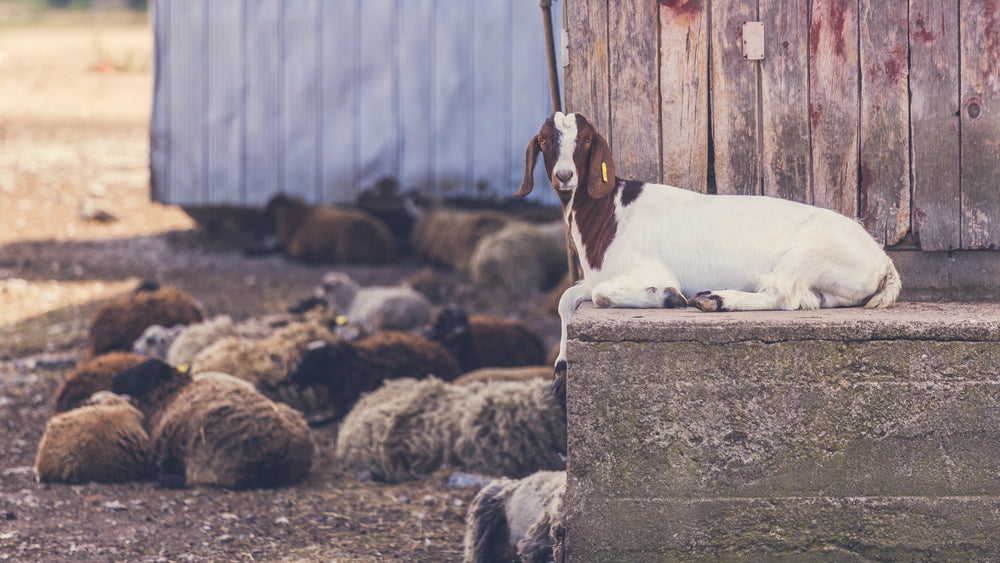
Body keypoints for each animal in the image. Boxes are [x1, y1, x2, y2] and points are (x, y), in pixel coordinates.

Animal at [110, 362, 314, 490]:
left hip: (205, 454)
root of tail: (281, 452)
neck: (172, 394)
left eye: (142, 373)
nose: (113, 380)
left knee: (194, 479)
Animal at [516, 112, 900, 398]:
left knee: (783, 295)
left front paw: (667, 296)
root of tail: (883, 261)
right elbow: (566, 299)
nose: (565, 175)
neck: (610, 216)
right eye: (545, 140)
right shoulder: (599, 274)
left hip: (810, 251)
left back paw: (716, 299)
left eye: (584, 141)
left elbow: (600, 294)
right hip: (829, 284)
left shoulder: (642, 270)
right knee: (806, 298)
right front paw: (561, 370)